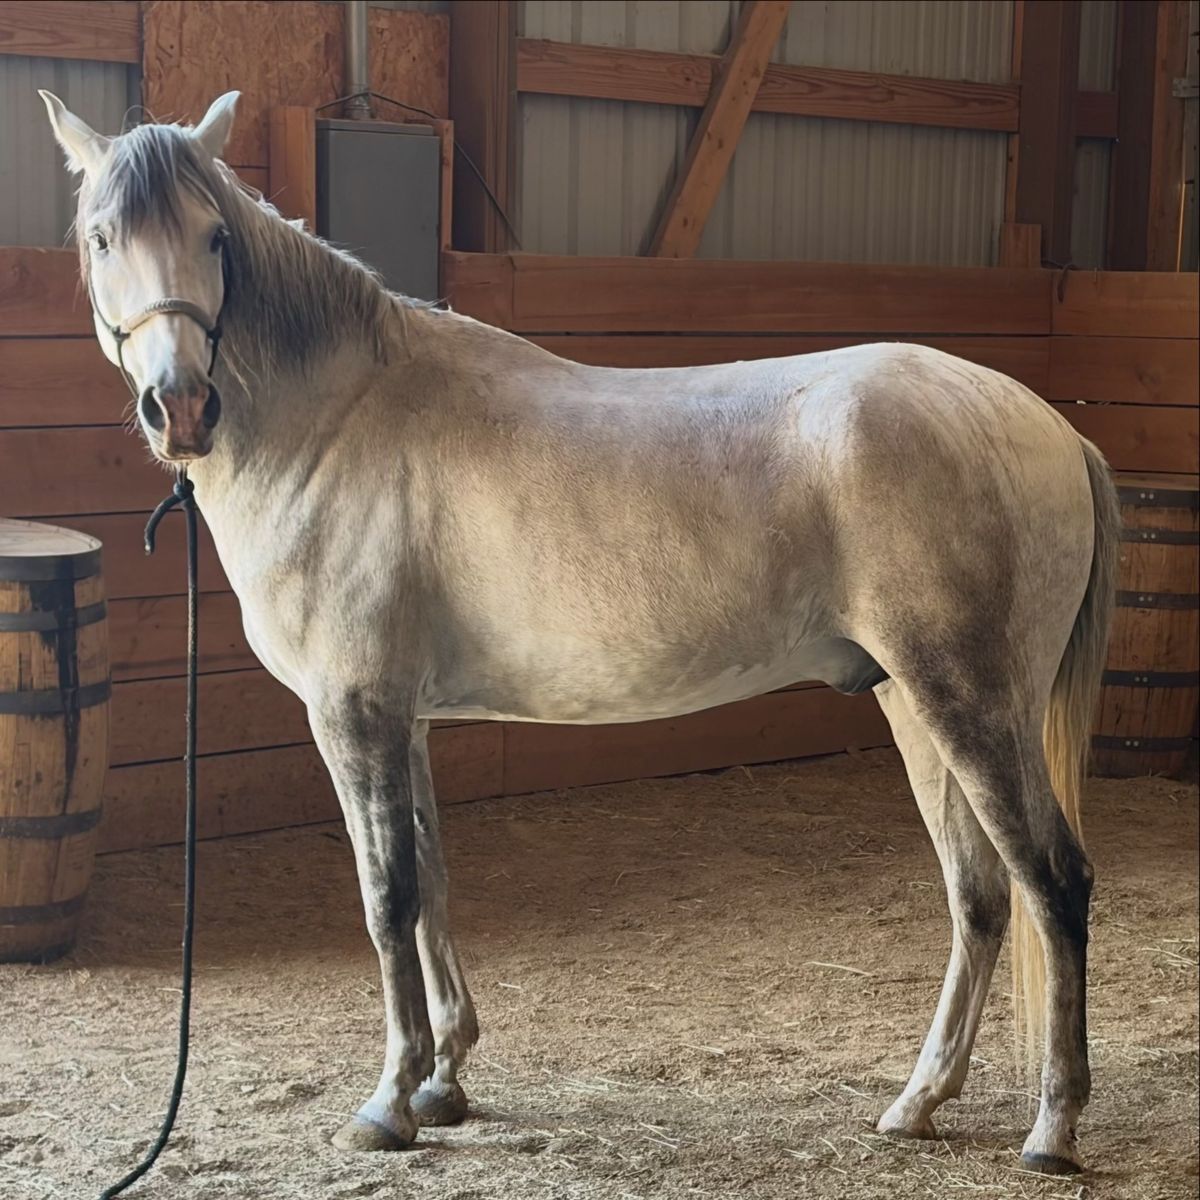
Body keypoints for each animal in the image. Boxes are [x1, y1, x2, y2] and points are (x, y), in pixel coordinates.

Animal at [41, 90, 1118, 1176]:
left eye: (214, 237)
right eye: (102, 238)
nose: (182, 407)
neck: (341, 421)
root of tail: (1050, 427)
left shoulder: (353, 715)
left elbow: (387, 899)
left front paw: (389, 1102)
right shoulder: (405, 720)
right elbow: (432, 879)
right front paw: (442, 1081)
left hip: (969, 702)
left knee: (1052, 880)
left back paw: (1052, 1128)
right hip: (911, 702)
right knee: (979, 896)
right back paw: (919, 1102)